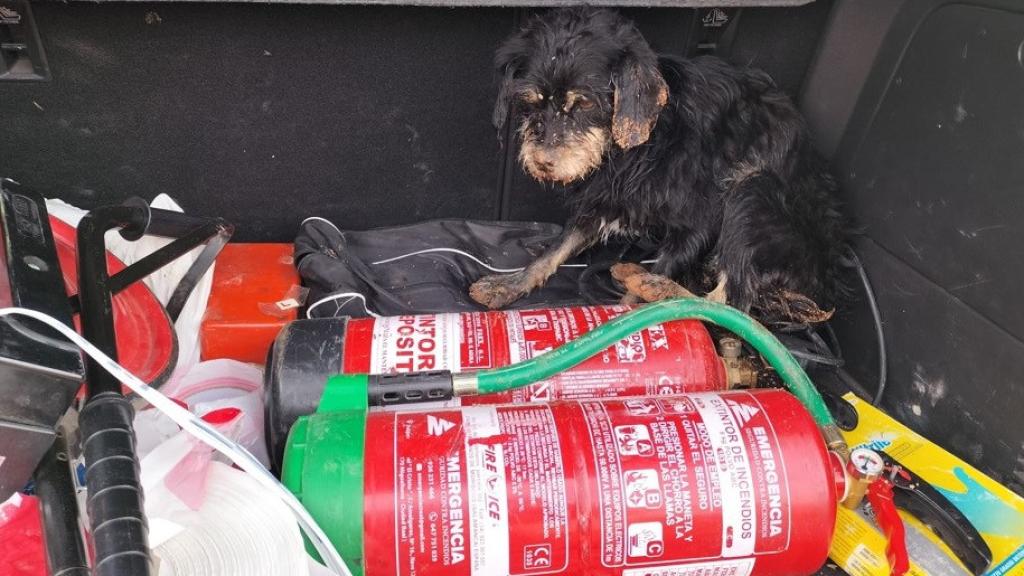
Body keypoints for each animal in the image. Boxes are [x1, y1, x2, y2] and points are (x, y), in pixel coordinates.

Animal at [468, 6, 851, 319]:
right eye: (530, 102)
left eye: (586, 104)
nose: (543, 163)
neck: (637, 148)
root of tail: (824, 286)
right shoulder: (604, 198)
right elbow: (554, 250)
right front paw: (508, 285)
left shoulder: (697, 224)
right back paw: (632, 272)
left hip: (752, 189)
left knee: (730, 303)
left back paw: (652, 284)